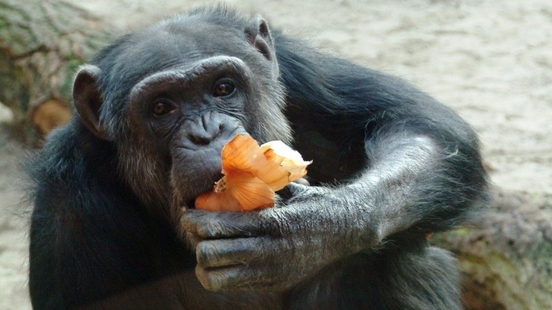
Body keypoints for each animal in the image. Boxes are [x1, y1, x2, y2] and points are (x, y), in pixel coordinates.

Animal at [27, 5, 488, 310]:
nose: (206, 132)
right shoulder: (69, 216)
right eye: (161, 108)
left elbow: (421, 125)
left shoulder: (299, 70)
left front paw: (306, 234)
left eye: (223, 88)